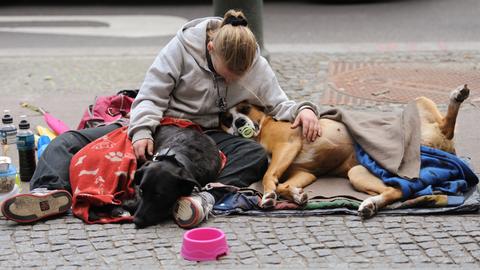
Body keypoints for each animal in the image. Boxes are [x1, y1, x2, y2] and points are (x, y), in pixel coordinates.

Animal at [221, 85, 472, 218]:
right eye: (226, 119)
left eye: (244, 108)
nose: (238, 121)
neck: (263, 127)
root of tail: (446, 147)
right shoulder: (304, 172)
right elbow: (283, 183)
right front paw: (296, 194)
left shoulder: (288, 145)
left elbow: (268, 176)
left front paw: (268, 194)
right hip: (358, 172)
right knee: (396, 191)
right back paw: (370, 204)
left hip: (419, 107)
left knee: (447, 127)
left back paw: (457, 96)